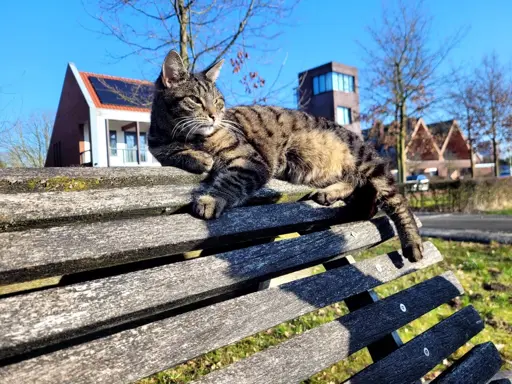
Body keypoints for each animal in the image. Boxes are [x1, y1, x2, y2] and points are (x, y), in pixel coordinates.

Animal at [148, 49, 424, 262]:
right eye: (195, 100)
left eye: (218, 101)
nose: (215, 116)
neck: (184, 135)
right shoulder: (157, 146)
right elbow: (168, 152)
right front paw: (198, 158)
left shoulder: (252, 160)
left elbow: (231, 180)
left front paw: (212, 199)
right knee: (356, 183)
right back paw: (330, 192)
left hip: (366, 163)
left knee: (397, 200)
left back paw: (412, 243)